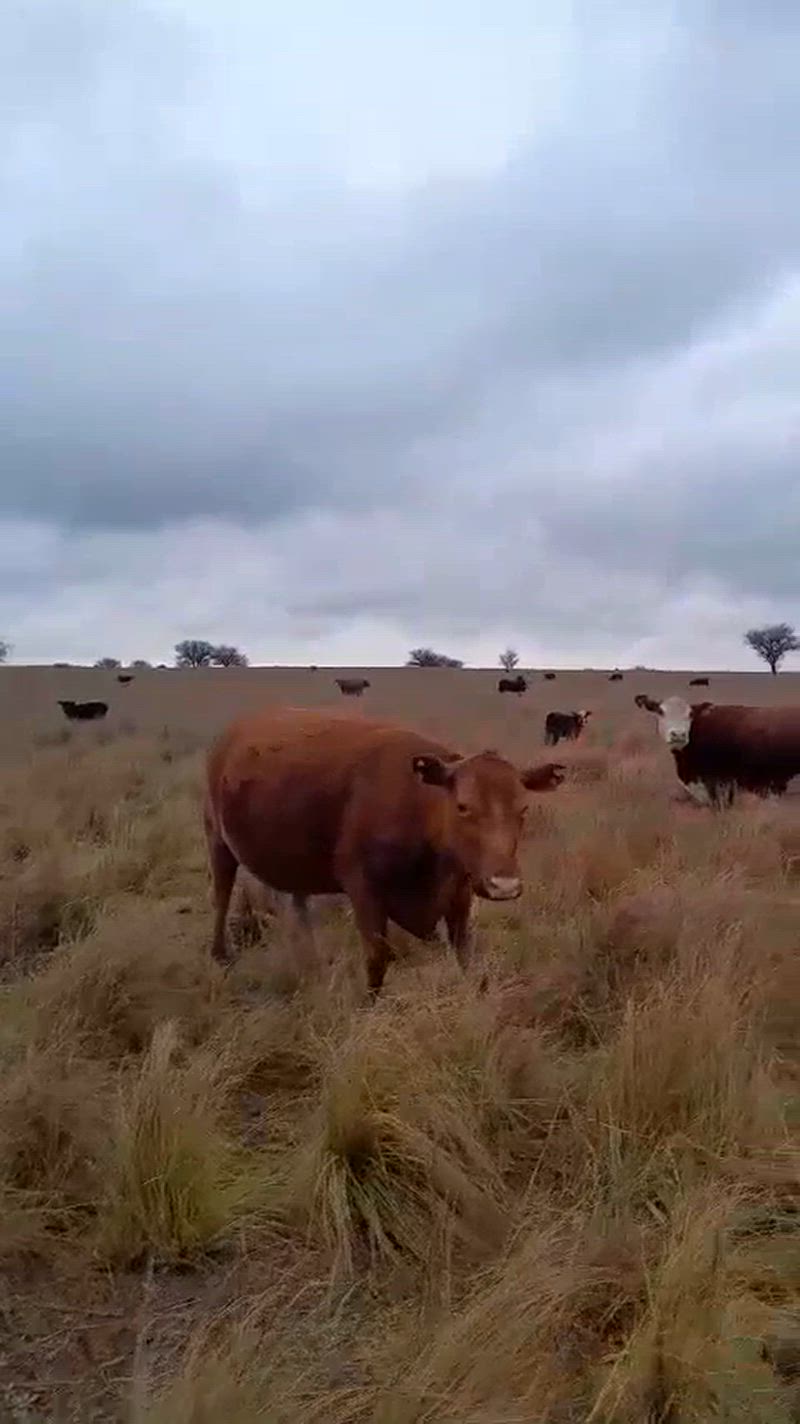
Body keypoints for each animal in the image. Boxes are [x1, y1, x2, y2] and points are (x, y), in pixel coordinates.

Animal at [204, 709, 566, 993]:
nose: (504, 885)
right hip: (218, 841)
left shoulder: (460, 894)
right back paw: (221, 956)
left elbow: (466, 956)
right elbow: (378, 959)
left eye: (523, 809)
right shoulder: (364, 890)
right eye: (463, 807)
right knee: (221, 896)